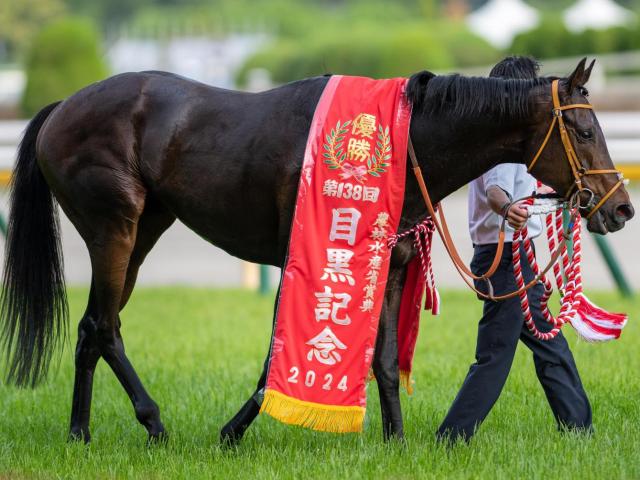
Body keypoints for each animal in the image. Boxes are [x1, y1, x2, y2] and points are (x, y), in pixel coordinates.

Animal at [0, 58, 632, 444]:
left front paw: (396, 441)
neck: (405, 141)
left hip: (145, 229)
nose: (621, 208)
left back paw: (80, 432)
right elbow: (274, 359)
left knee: (93, 326)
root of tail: (61, 108)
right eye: (583, 131)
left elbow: (383, 360)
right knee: (104, 327)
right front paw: (233, 432)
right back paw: (152, 425)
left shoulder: (389, 265)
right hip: (114, 227)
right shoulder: (301, 259)